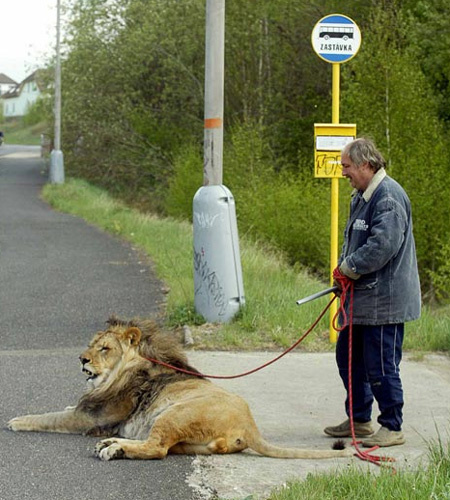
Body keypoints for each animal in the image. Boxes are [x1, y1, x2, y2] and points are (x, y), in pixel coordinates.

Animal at [6, 316, 352, 460]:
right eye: (92, 344)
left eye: (104, 348)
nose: (82, 359)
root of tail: (250, 426)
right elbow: (63, 408)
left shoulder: (91, 417)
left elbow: (48, 417)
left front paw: (15, 420)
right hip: (190, 440)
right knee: (161, 446)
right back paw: (113, 444)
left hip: (173, 414)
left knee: (157, 449)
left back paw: (114, 449)